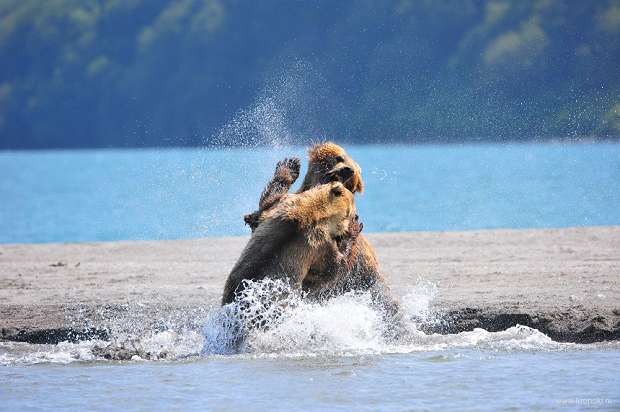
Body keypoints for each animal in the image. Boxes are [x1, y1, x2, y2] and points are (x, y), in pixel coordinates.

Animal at [223, 181, 358, 306]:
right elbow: (332, 270)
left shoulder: (281, 208)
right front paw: (352, 231)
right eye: (353, 210)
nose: (356, 217)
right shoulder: (320, 243)